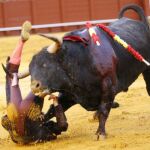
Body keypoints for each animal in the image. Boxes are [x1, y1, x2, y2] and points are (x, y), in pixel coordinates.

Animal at [28, 4, 150, 138]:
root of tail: (142, 24)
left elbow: (104, 109)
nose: (34, 86)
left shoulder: (108, 87)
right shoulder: (70, 94)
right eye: (30, 69)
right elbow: (52, 110)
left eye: (45, 64)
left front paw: (100, 133)